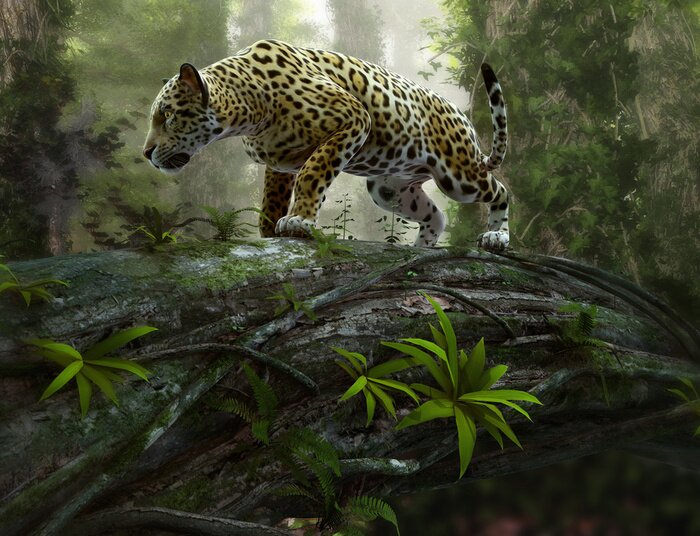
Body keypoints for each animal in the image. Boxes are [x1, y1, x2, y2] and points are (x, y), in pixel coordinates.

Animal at [143, 39, 510, 250]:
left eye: (168, 115)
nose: (146, 153)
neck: (249, 107)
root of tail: (459, 114)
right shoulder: (280, 161)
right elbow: (271, 199)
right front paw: (270, 232)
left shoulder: (353, 119)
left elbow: (313, 173)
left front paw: (298, 222)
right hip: (388, 190)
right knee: (436, 215)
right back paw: (419, 247)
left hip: (458, 176)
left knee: (501, 191)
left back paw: (497, 236)